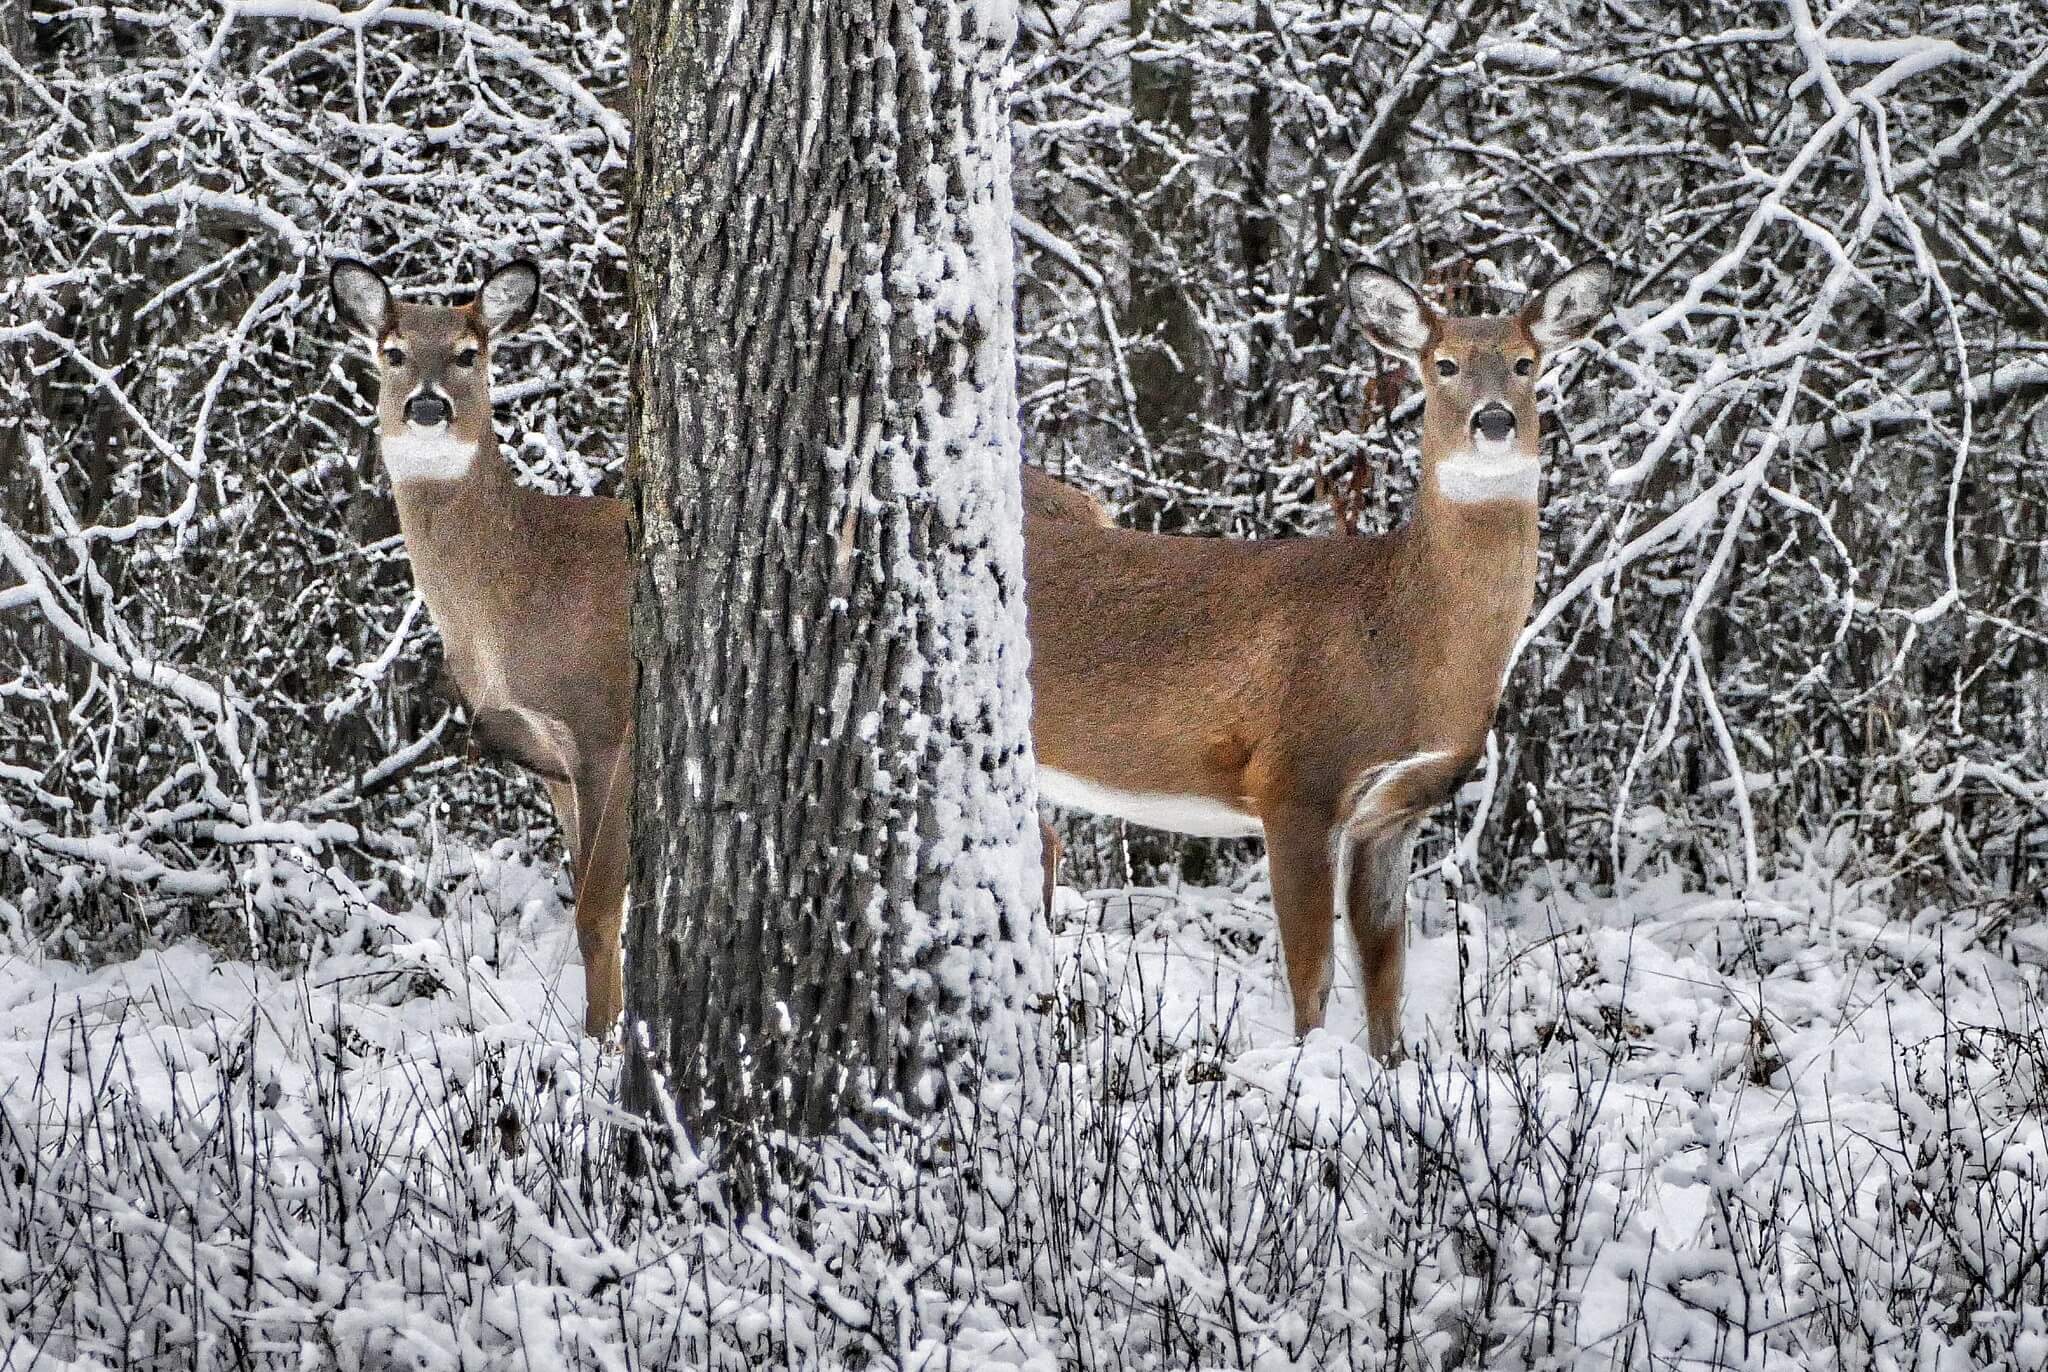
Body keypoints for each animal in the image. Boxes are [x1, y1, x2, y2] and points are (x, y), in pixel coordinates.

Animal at [333, 258, 630, 1036]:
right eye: (393, 351)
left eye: (470, 353)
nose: (427, 406)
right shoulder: (551, 759)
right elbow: (594, 906)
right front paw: (605, 1030)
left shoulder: (610, 726)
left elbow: (598, 912)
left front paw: (602, 1047)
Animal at [1032, 264, 1605, 1056]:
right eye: (1443, 364)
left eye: (1526, 363)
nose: (1493, 421)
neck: (1401, 642)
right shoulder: (1295, 782)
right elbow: (1313, 975)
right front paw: (1306, 1071)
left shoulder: (1394, 813)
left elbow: (1385, 975)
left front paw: (1389, 1072)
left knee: (1044, 845)